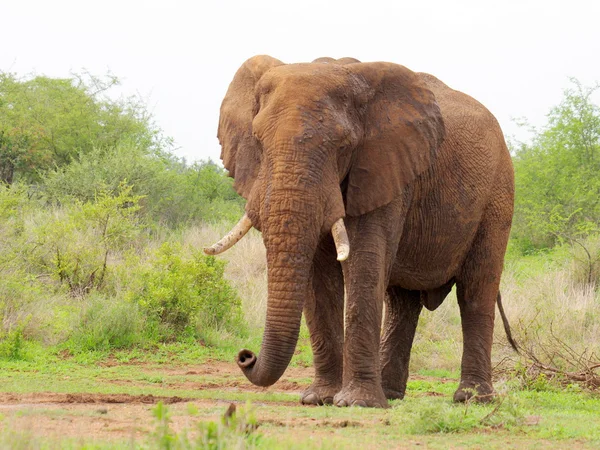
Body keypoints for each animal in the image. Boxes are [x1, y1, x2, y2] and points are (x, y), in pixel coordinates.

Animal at [206, 53, 516, 408]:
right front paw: (319, 399)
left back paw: (472, 398)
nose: (246, 356)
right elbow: (319, 277)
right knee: (402, 302)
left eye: (343, 146)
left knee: (476, 291)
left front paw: (356, 403)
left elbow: (364, 262)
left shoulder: (385, 168)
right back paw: (392, 394)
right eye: (257, 141)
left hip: (498, 194)